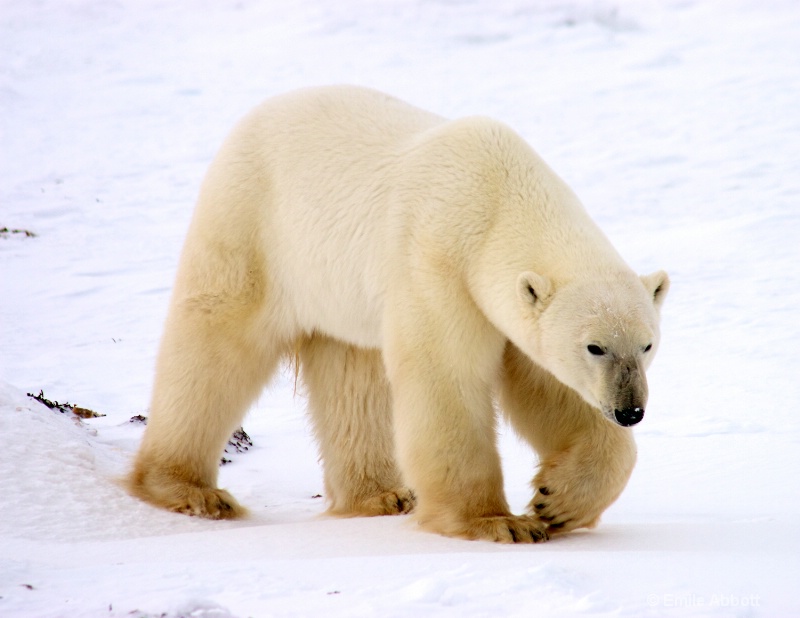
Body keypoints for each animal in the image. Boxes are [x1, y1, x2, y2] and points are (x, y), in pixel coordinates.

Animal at [130, 85, 668, 540]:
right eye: (594, 346)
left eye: (647, 344)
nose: (630, 410)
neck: (496, 196)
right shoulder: (436, 260)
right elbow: (446, 377)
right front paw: (497, 522)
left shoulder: (507, 308)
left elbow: (547, 389)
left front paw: (556, 502)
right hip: (253, 226)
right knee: (216, 345)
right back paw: (190, 489)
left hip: (338, 290)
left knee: (352, 378)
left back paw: (380, 495)